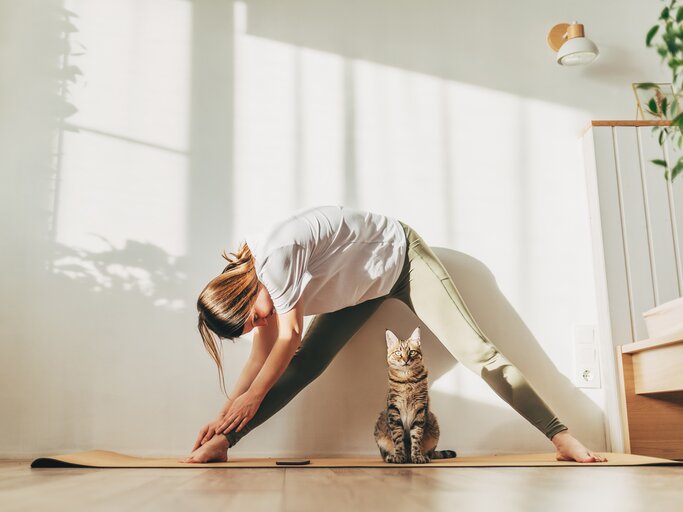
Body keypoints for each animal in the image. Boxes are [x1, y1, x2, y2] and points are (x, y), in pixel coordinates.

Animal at [376, 328, 456, 464]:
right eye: (398, 352)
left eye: (412, 352)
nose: (405, 360)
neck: (407, 378)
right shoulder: (394, 409)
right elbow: (398, 437)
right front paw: (398, 456)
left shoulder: (420, 409)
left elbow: (416, 436)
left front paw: (417, 456)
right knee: (384, 453)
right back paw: (391, 457)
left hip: (434, 424)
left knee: (431, 452)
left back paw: (424, 456)